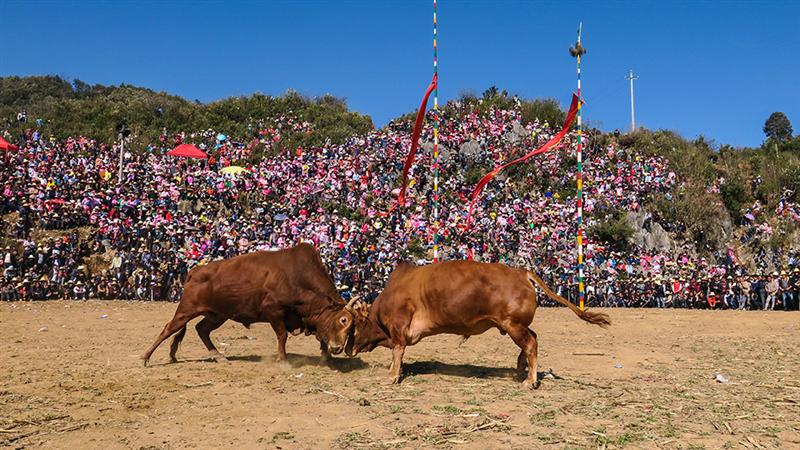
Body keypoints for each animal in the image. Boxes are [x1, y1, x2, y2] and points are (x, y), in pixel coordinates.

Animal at [143, 243, 356, 366]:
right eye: (343, 320)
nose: (338, 348)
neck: (297, 275)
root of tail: (196, 271)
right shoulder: (274, 311)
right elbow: (282, 335)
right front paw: (282, 359)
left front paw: (326, 354)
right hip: (187, 309)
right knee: (169, 329)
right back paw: (147, 357)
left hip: (218, 314)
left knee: (202, 329)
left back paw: (217, 355)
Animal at [346, 262, 612, 388]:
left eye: (355, 324)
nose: (349, 348)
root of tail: (521, 272)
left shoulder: (399, 329)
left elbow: (397, 352)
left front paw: (392, 376)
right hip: (516, 325)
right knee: (532, 339)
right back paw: (520, 368)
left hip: (513, 325)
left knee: (531, 343)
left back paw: (530, 380)